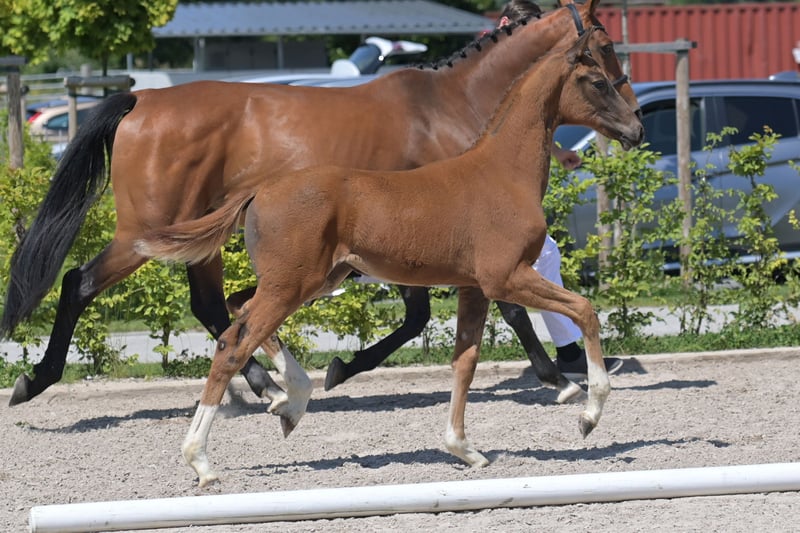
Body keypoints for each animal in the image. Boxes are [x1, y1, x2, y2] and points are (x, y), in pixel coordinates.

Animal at [1, 0, 639, 410]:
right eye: (606, 51)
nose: (634, 125)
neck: (454, 104)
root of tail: (141, 102)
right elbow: (489, 309)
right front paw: (559, 378)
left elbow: (422, 316)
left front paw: (340, 367)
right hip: (146, 234)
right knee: (80, 284)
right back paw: (35, 381)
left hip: (200, 240)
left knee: (210, 306)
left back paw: (265, 384)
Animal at [136, 27, 643, 487]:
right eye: (597, 79)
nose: (636, 127)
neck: (502, 172)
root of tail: (258, 189)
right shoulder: (507, 277)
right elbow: (585, 309)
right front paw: (589, 414)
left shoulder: (473, 288)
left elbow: (465, 361)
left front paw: (464, 449)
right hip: (292, 285)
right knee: (232, 344)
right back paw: (203, 461)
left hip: (308, 280)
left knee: (238, 311)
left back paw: (292, 401)